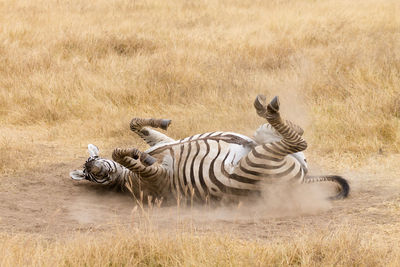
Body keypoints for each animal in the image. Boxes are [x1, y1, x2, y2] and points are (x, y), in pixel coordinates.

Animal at [70, 95, 348, 202]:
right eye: (90, 175)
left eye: (92, 164)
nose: (97, 168)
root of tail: (302, 180)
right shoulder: (158, 181)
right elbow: (123, 153)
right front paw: (139, 156)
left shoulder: (162, 142)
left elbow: (135, 124)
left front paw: (160, 124)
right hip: (259, 160)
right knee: (297, 141)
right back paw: (269, 109)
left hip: (264, 141)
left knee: (295, 135)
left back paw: (266, 112)